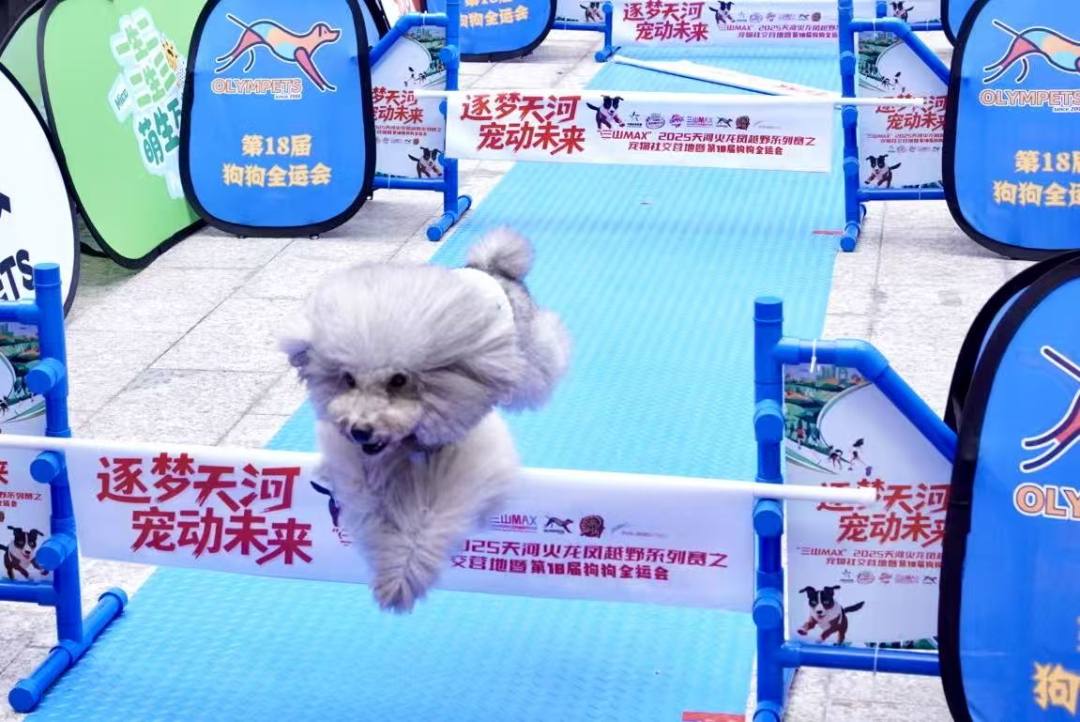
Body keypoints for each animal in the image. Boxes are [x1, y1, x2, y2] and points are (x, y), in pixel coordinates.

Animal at [281, 228, 571, 613]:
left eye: (399, 380)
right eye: (347, 378)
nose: (360, 430)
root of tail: (488, 267)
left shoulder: (463, 456)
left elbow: (426, 518)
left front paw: (402, 577)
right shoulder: (358, 461)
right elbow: (368, 499)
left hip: (529, 361)